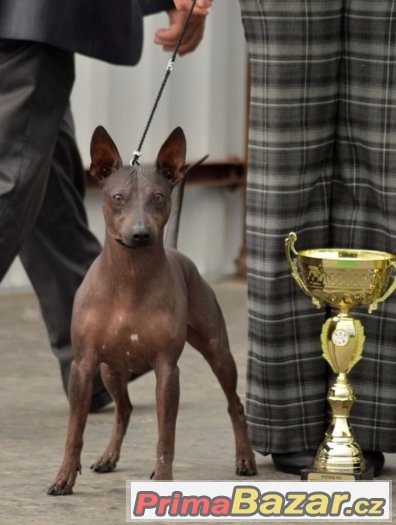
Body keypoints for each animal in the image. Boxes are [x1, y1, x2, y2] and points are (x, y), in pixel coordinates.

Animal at [47, 125, 256, 494]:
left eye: (158, 196)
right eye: (118, 198)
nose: (141, 233)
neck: (130, 278)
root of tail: (176, 251)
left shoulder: (167, 370)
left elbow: (166, 435)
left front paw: (164, 477)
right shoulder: (83, 366)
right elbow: (75, 431)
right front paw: (64, 477)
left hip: (218, 352)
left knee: (235, 404)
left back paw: (244, 459)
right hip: (110, 370)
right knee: (125, 409)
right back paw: (108, 457)